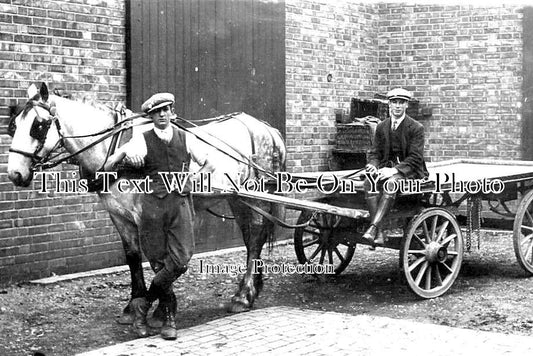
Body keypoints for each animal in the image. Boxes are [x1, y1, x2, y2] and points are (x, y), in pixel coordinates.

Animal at [6, 84, 284, 326]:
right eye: (13, 125)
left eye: (38, 126)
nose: (15, 174)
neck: (116, 149)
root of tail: (264, 128)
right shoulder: (119, 216)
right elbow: (133, 257)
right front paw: (133, 306)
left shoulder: (147, 216)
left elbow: (159, 261)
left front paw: (162, 309)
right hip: (238, 199)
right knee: (250, 238)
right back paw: (250, 289)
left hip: (254, 195)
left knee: (255, 238)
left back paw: (244, 296)